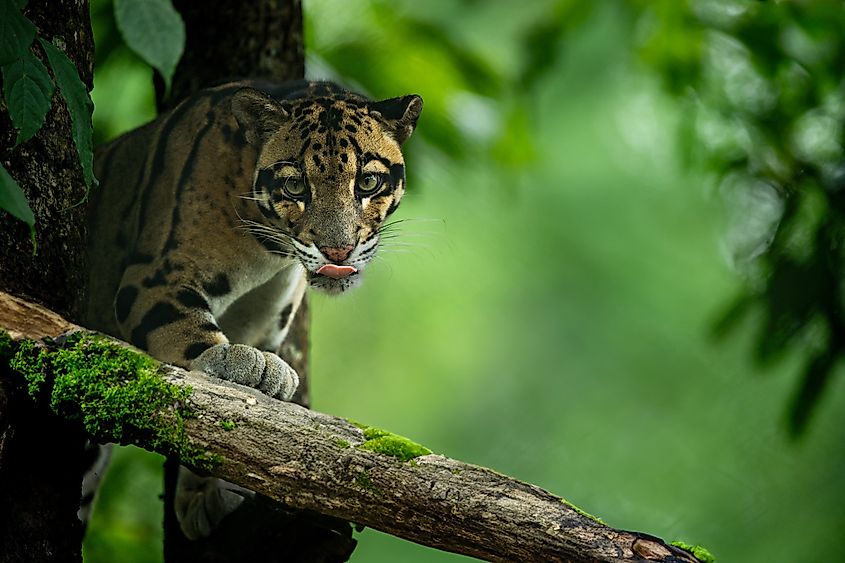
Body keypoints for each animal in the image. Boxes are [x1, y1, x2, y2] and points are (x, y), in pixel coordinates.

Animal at [82, 79, 422, 539]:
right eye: (295, 187)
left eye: (368, 182)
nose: (337, 250)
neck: (269, 253)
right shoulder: (153, 277)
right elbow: (189, 342)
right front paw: (232, 360)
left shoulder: (262, 322)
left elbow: (237, 422)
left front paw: (201, 494)